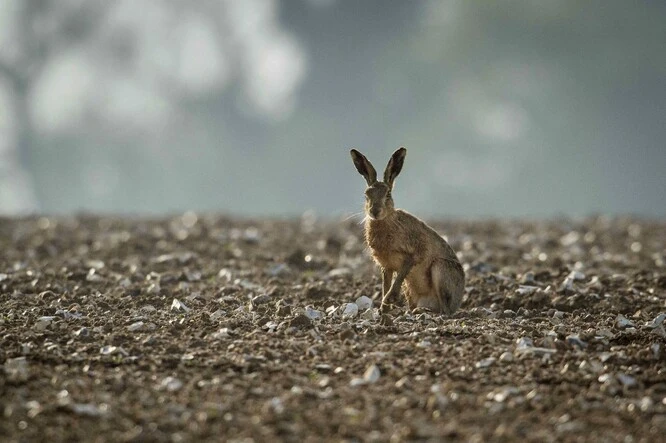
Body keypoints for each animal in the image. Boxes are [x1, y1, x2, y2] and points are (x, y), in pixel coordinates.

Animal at [350, 147, 465, 314]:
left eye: (388, 194)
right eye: (366, 195)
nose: (375, 212)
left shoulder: (413, 254)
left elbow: (399, 276)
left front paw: (389, 299)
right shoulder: (386, 266)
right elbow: (385, 284)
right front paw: (383, 309)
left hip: (440, 269)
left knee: (445, 310)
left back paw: (424, 311)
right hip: (410, 289)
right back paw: (413, 310)